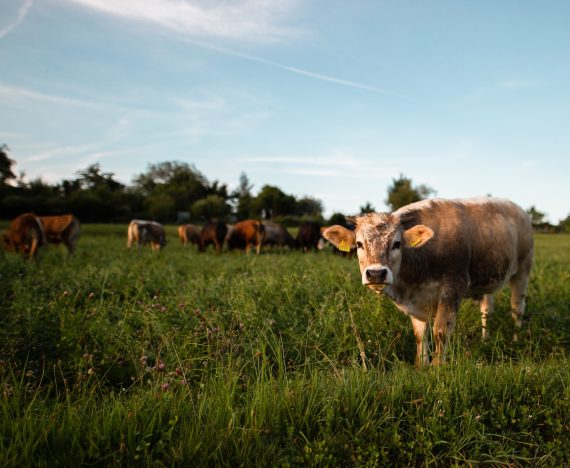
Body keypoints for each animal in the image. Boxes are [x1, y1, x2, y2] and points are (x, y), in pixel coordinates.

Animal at [324, 197, 532, 366]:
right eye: (359, 244)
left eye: (397, 244)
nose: (376, 273)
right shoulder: (416, 301)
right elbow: (420, 334)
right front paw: (421, 365)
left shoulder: (454, 284)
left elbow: (440, 330)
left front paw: (436, 367)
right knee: (487, 310)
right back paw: (485, 339)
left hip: (523, 270)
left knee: (517, 308)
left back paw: (516, 339)